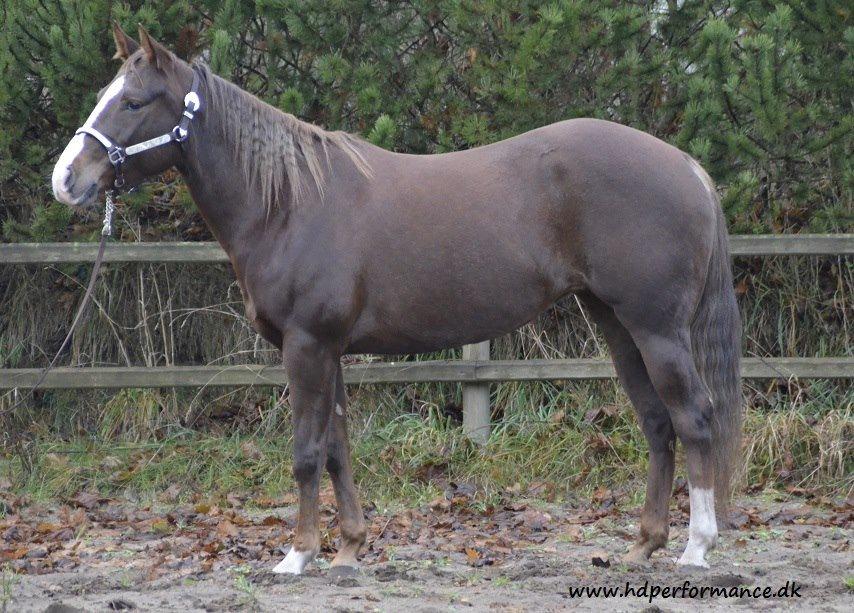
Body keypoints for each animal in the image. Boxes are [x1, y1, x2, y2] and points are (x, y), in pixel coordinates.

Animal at [50, 22, 744, 568]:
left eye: (134, 102)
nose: (66, 179)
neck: (291, 202)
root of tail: (687, 166)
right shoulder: (328, 350)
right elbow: (336, 449)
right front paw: (350, 549)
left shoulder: (305, 346)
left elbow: (306, 453)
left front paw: (298, 555)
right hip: (618, 326)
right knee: (657, 423)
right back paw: (643, 544)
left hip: (657, 330)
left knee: (694, 418)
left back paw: (696, 547)